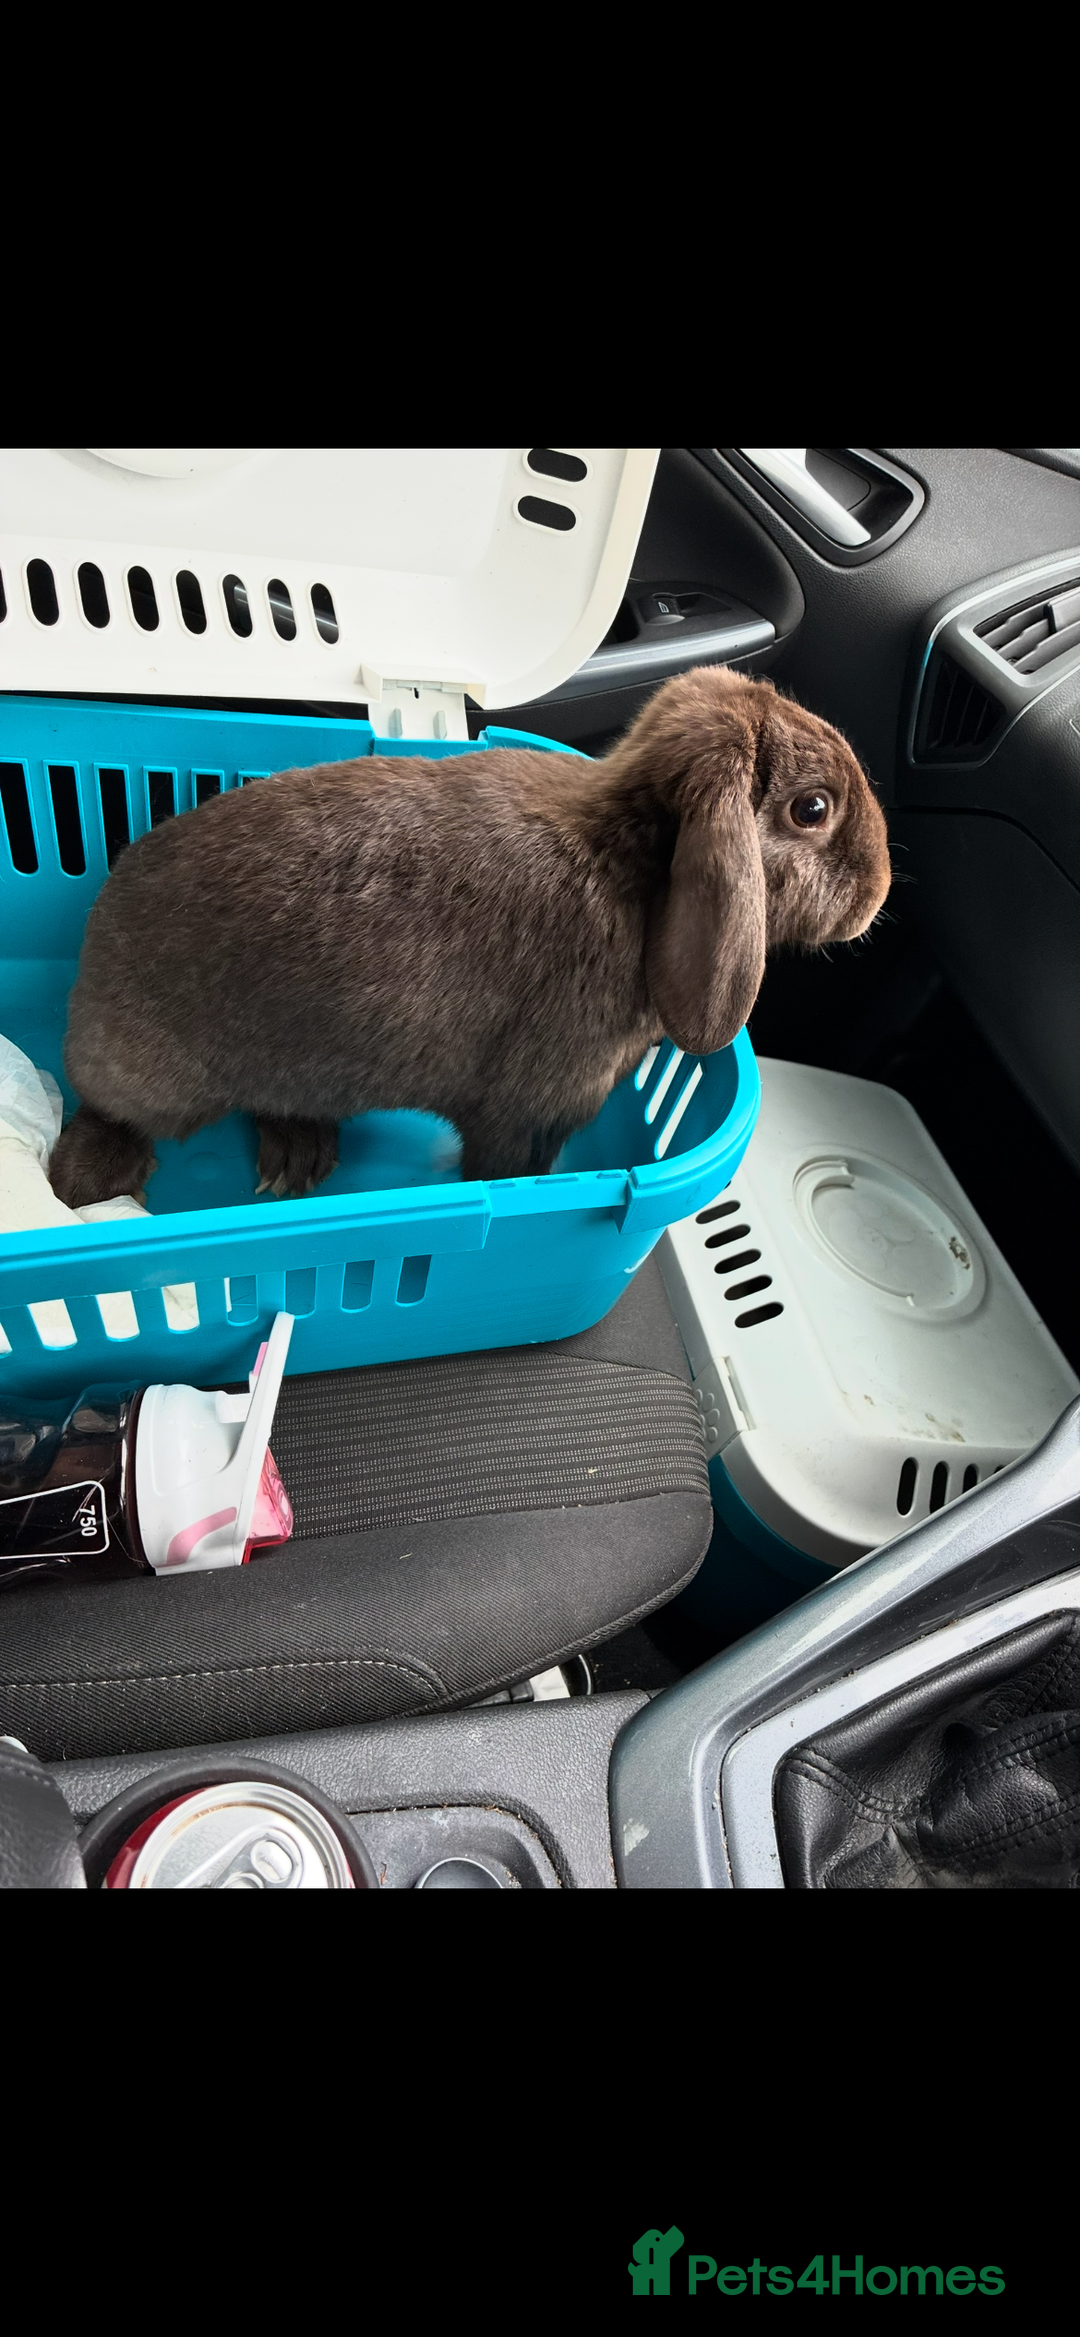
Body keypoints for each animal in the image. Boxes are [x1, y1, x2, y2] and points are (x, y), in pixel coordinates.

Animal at [49, 664, 891, 1209]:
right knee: (109, 1106)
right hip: (155, 1078)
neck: (635, 861)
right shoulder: (521, 1110)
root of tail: (95, 930)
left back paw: (298, 1158)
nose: (879, 888)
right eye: (812, 809)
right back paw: (86, 1177)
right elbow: (504, 1163)